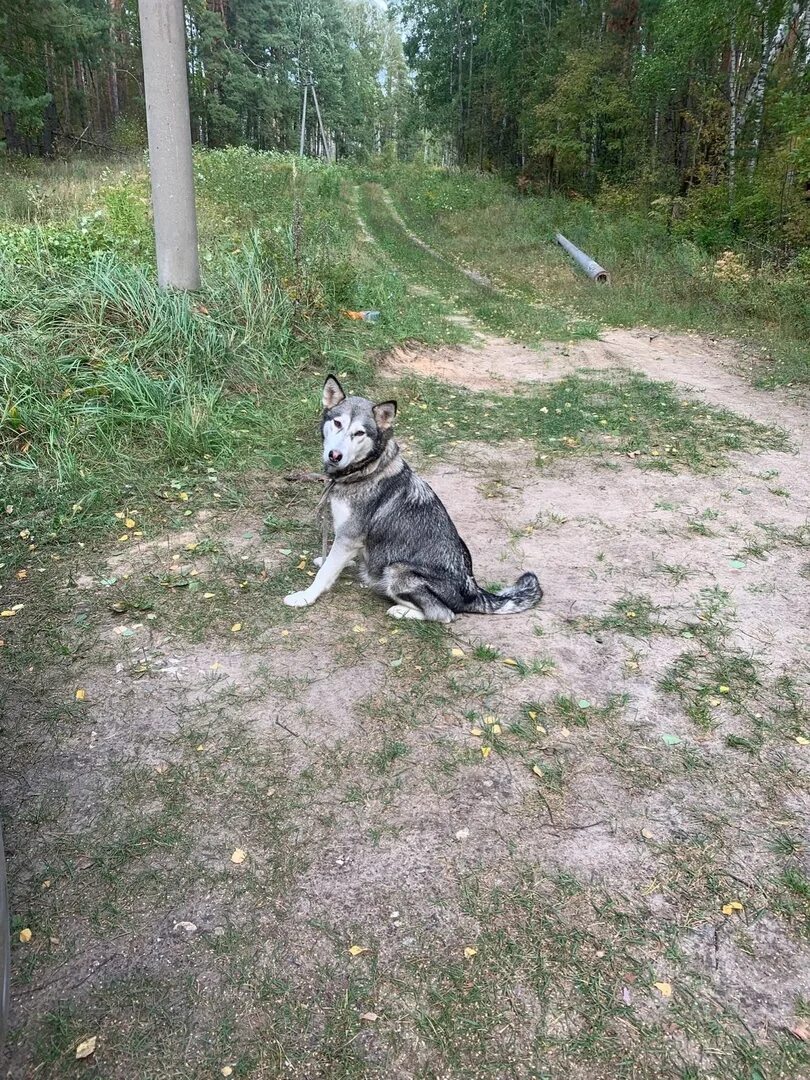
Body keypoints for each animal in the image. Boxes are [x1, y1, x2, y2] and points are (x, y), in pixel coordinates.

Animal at [285, 378, 546, 626]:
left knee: (444, 614)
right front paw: (330, 561)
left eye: (359, 433)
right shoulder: (350, 539)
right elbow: (333, 561)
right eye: (337, 423)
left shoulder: (349, 536)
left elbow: (325, 574)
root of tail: (473, 592)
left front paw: (306, 596)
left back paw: (401, 611)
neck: (366, 470)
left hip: (397, 571)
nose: (335, 456)